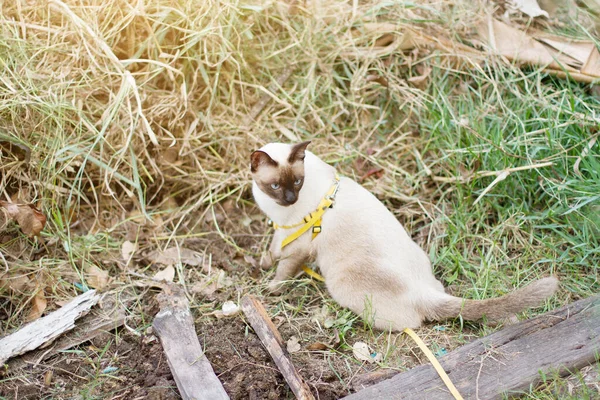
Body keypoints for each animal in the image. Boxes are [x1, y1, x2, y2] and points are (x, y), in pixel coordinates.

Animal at [250, 141, 556, 332]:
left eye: (297, 182)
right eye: (275, 186)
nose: (290, 199)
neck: (279, 211)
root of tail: (422, 290)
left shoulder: (299, 243)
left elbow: (283, 269)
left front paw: (270, 289)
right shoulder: (281, 229)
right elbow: (273, 251)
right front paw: (261, 264)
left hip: (340, 283)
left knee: (410, 323)